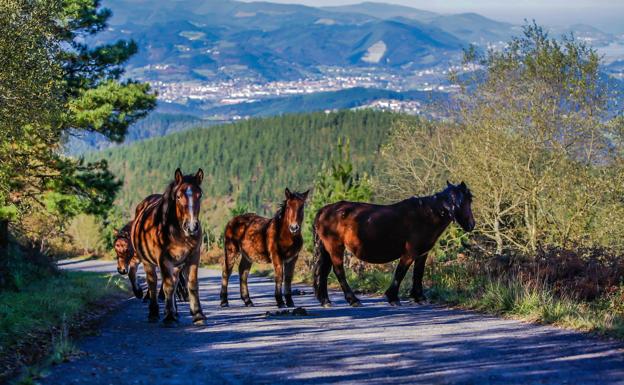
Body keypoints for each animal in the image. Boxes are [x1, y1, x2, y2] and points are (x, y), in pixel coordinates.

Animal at [131, 168, 205, 324]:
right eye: (178, 196)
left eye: (199, 195)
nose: (192, 226)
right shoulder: (163, 260)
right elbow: (168, 287)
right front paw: (169, 317)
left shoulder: (193, 257)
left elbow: (192, 284)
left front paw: (198, 314)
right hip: (148, 262)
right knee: (153, 283)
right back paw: (154, 313)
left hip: (176, 265)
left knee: (174, 281)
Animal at [314, 181, 476, 306]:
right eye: (468, 200)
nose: (471, 224)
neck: (426, 215)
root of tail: (324, 210)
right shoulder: (409, 253)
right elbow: (401, 273)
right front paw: (392, 297)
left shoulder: (422, 254)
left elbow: (418, 274)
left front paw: (419, 297)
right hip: (335, 247)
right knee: (338, 271)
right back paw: (353, 300)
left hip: (328, 249)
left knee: (324, 271)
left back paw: (325, 300)